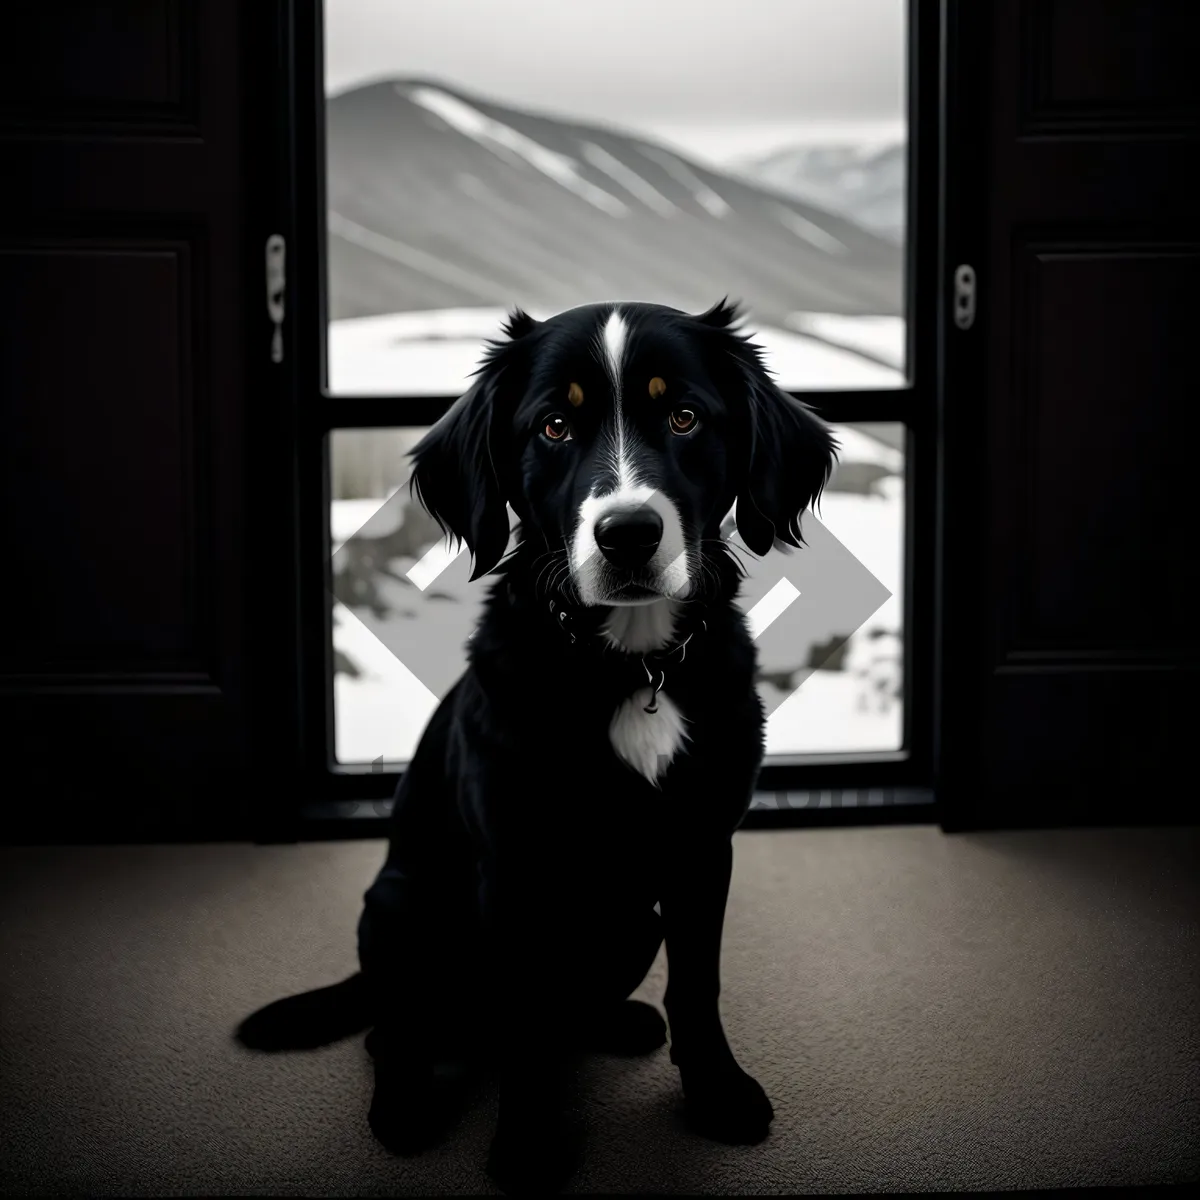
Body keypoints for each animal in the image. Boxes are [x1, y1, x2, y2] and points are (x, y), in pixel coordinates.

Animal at [238, 297, 840, 1190]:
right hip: (401, 908)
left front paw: (717, 1093)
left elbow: (697, 987)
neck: (631, 666)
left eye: (685, 416)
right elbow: (524, 1020)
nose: (628, 534)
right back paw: (405, 1104)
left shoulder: (704, 847)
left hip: (633, 923)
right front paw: (525, 1145)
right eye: (555, 425)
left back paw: (617, 1024)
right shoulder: (515, 868)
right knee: (398, 1030)